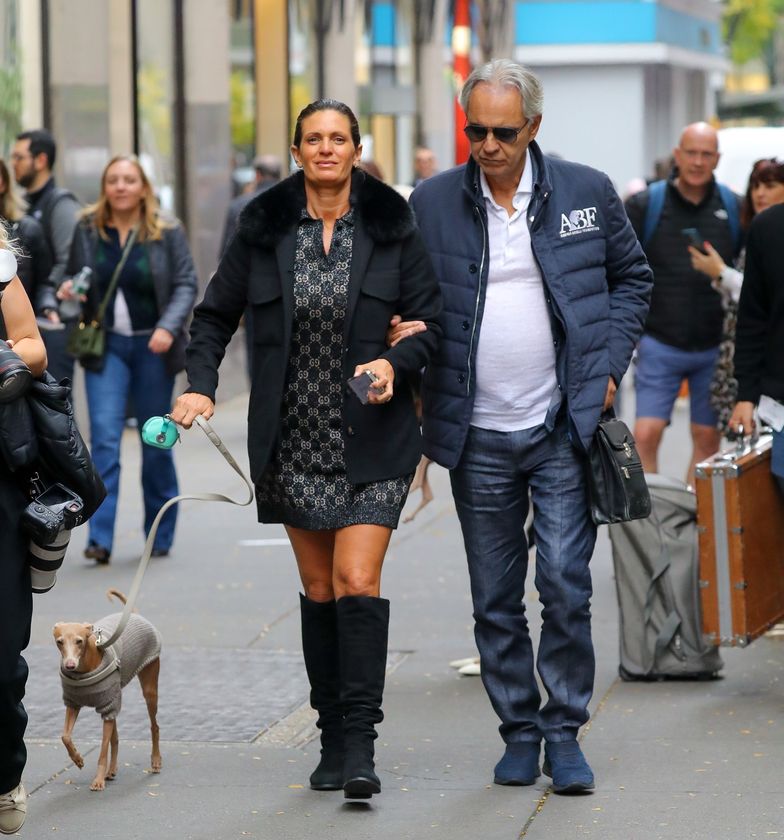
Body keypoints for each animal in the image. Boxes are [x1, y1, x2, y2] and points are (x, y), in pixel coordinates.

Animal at [53, 588, 162, 792]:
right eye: (59, 642)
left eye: (79, 641)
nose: (69, 665)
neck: (85, 669)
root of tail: (135, 613)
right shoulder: (74, 704)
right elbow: (65, 736)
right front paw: (78, 759)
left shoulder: (108, 707)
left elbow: (102, 750)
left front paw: (98, 780)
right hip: (114, 701)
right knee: (115, 738)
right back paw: (111, 770)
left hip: (149, 688)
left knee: (154, 726)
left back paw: (156, 760)